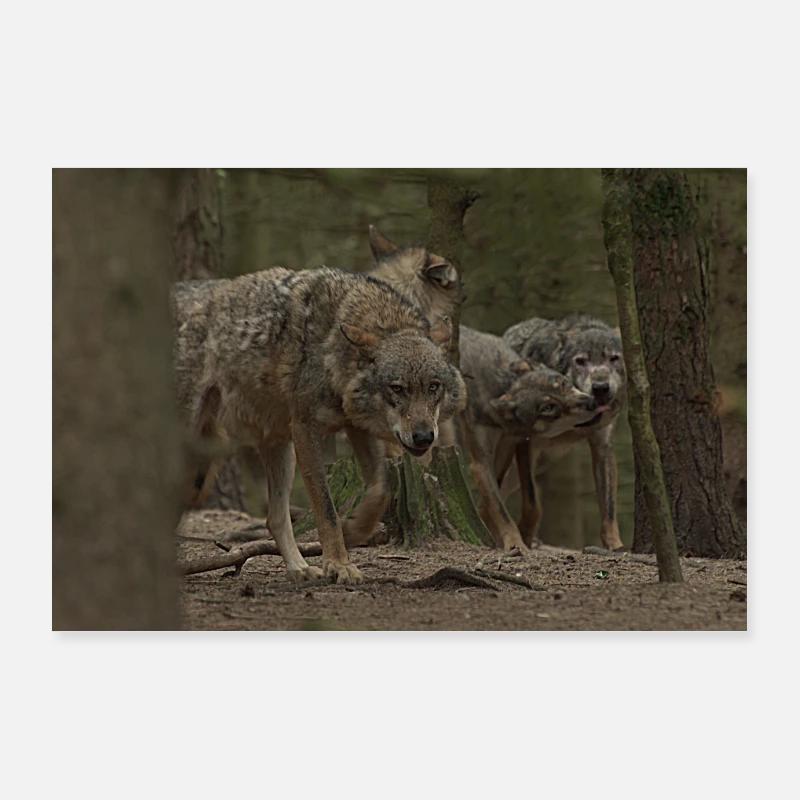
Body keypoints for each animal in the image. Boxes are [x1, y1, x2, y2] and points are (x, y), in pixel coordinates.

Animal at [175, 267, 466, 583]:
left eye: (433, 387)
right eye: (397, 388)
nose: (424, 437)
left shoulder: (357, 428)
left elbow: (381, 490)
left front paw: (355, 530)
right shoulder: (306, 430)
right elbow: (327, 510)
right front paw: (338, 564)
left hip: (275, 451)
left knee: (274, 518)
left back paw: (299, 568)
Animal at [456, 325, 597, 551]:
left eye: (564, 384)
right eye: (548, 408)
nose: (592, 402)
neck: (503, 387)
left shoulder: (519, 443)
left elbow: (531, 502)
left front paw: (526, 536)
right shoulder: (480, 463)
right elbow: (500, 509)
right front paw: (515, 544)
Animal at [502, 315, 627, 551]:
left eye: (613, 358)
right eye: (580, 361)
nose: (601, 387)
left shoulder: (603, 445)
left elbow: (609, 508)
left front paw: (615, 546)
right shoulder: (527, 444)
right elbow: (533, 503)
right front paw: (525, 536)